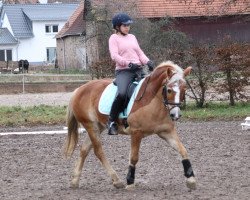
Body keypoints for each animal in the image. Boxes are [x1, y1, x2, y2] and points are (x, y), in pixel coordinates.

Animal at [63, 61, 196, 191]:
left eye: (184, 89)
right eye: (169, 90)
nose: (175, 114)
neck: (154, 101)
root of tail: (79, 89)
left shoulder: (167, 131)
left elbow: (183, 150)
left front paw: (191, 179)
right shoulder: (136, 133)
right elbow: (134, 157)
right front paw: (130, 182)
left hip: (98, 126)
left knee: (84, 149)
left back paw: (75, 181)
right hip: (91, 126)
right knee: (98, 151)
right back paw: (117, 180)